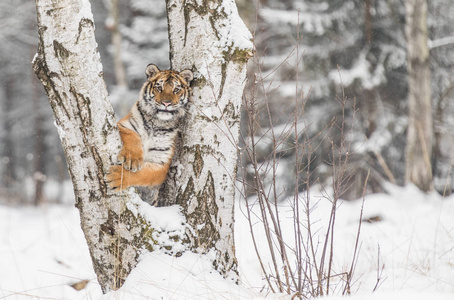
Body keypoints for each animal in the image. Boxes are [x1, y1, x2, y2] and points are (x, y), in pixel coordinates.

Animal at [106, 63, 193, 192]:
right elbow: (132, 135)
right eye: (159, 88)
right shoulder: (121, 124)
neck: (157, 123)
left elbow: (142, 174)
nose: (166, 103)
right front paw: (132, 159)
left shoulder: (161, 163)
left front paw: (117, 177)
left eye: (176, 90)